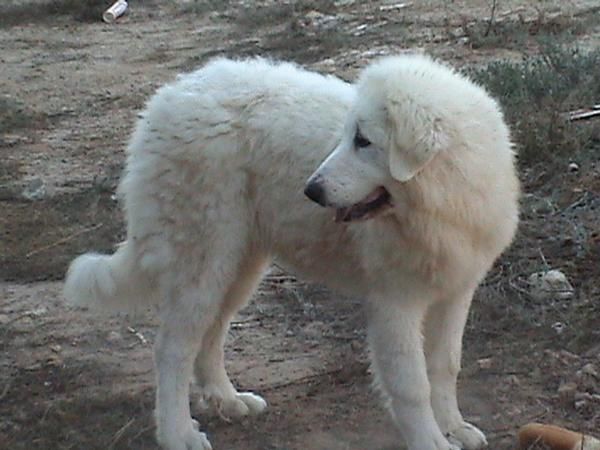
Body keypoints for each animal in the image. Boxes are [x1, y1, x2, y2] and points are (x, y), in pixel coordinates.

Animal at [63, 53, 516, 450]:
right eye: (348, 137)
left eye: (363, 141)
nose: (311, 191)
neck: (443, 199)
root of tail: (166, 98)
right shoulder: (394, 302)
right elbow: (412, 386)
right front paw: (431, 441)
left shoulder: (456, 291)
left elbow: (445, 366)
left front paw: (454, 427)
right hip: (203, 260)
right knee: (173, 349)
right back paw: (178, 435)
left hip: (238, 266)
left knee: (211, 334)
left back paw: (229, 401)